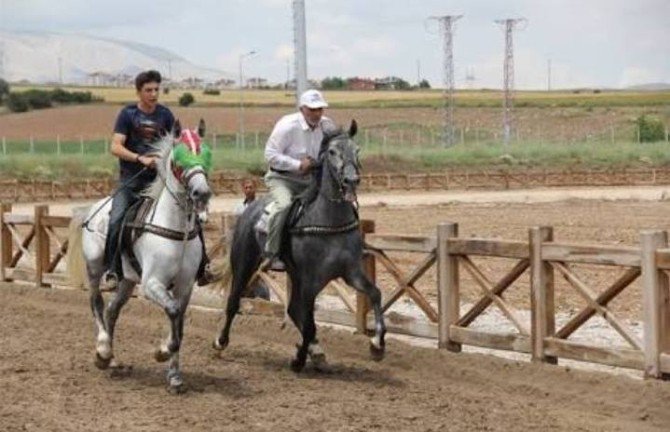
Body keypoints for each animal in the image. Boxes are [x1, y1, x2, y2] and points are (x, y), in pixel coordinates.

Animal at [70, 120, 213, 392]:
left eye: (206, 154)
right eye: (179, 159)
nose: (202, 193)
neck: (174, 229)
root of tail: (92, 210)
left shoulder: (185, 286)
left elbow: (179, 322)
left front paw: (175, 376)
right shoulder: (151, 283)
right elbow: (173, 312)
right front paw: (162, 352)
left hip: (127, 280)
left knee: (112, 310)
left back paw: (113, 360)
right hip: (94, 268)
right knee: (96, 303)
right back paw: (102, 352)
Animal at [215, 121, 388, 372]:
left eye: (357, 149)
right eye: (332, 151)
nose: (351, 180)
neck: (329, 222)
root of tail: (249, 211)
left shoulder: (351, 272)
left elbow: (375, 293)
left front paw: (377, 345)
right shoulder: (310, 280)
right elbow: (308, 322)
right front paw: (298, 360)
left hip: (293, 275)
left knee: (293, 310)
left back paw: (316, 351)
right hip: (244, 263)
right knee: (234, 301)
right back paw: (220, 342)